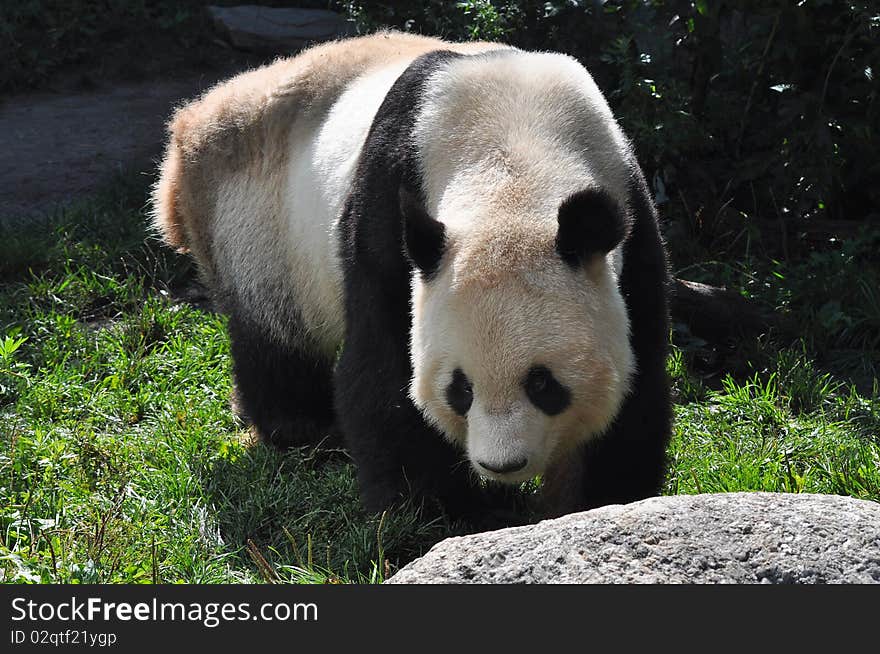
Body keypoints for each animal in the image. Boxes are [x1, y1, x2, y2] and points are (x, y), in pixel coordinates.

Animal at [153, 32, 672, 524]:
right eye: (461, 389)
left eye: (543, 384)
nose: (502, 466)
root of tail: (192, 123)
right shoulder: (390, 199)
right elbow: (383, 367)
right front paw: (443, 515)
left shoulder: (630, 212)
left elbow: (634, 385)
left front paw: (594, 504)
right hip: (259, 225)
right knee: (277, 340)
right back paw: (304, 430)